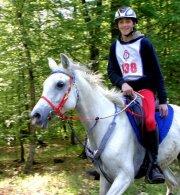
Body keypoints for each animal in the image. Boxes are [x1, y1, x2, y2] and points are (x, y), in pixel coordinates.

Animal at [31, 53, 180, 195]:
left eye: (60, 84)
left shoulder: (124, 177)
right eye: (44, 84)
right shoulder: (105, 178)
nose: (36, 115)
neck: (106, 125)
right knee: (172, 183)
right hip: (164, 164)